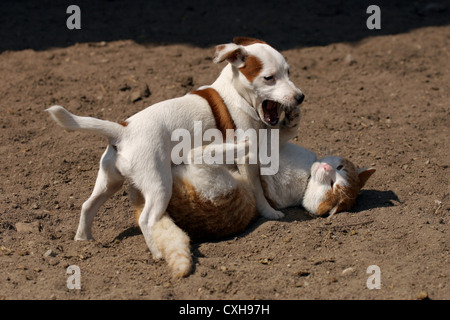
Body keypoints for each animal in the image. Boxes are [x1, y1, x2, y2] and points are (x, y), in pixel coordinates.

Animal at [45, 37, 304, 262]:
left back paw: (83, 239)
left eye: (289, 72)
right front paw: (270, 213)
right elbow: (258, 189)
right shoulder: (248, 160)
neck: (235, 95)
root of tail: (123, 131)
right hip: (159, 185)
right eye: (269, 78)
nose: (300, 97)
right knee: (147, 220)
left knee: (87, 206)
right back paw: (156, 253)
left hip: (109, 182)